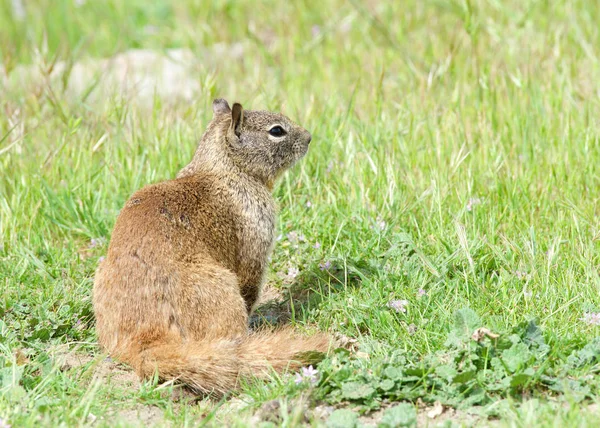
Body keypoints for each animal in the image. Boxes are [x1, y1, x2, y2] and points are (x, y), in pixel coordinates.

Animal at [91, 99, 330, 394]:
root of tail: (144, 344)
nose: (309, 137)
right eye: (276, 131)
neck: (222, 169)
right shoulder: (256, 243)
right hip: (222, 286)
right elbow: (251, 288)